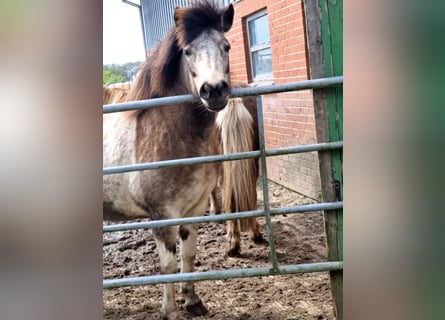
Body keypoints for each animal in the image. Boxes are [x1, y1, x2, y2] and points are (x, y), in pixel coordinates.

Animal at [104, 1, 260, 318]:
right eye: (187, 51)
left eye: (226, 46)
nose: (214, 90)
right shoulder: (163, 216)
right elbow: (167, 265)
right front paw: (170, 311)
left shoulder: (193, 210)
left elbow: (188, 256)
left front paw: (193, 301)